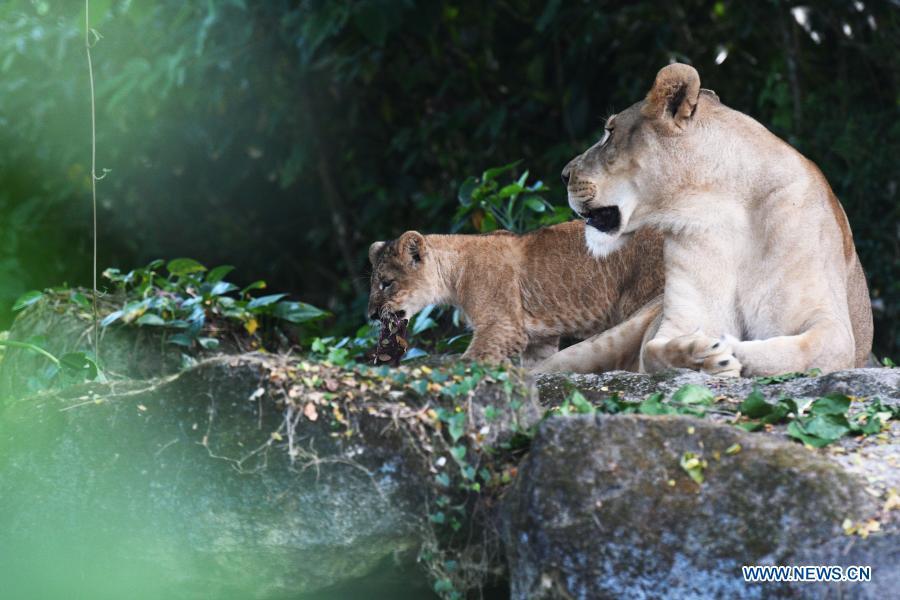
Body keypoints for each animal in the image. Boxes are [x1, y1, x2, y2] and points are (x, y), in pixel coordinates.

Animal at [366, 221, 663, 365]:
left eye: (386, 283)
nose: (371, 315)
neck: (453, 274)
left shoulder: (503, 326)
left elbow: (472, 362)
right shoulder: (538, 340)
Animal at [535, 63, 873, 377]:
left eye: (610, 133)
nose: (564, 174)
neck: (721, 206)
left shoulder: (832, 326)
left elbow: (795, 352)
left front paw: (726, 349)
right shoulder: (681, 318)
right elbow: (654, 350)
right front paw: (703, 353)